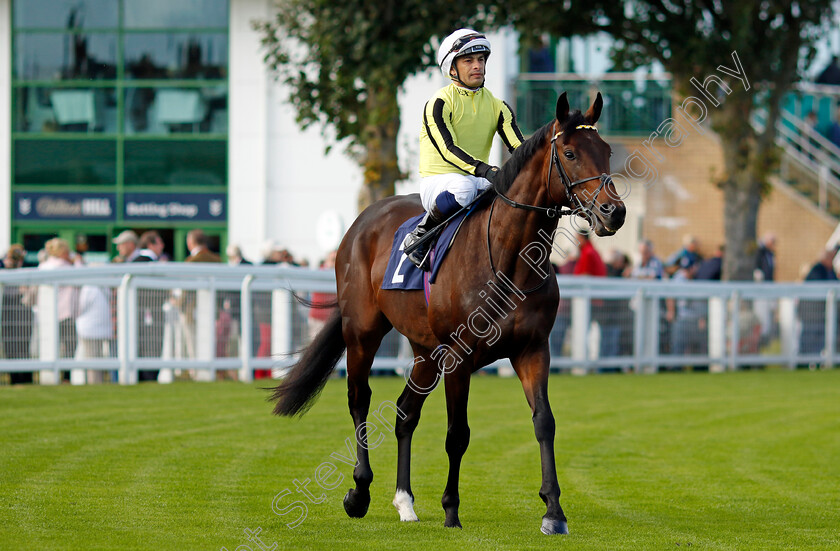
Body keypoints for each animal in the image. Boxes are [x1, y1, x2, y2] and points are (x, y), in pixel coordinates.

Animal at [270, 92, 624, 536]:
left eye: (607, 150)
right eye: (571, 153)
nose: (614, 212)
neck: (510, 259)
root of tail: (363, 222)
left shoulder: (533, 350)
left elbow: (544, 422)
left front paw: (554, 512)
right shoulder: (460, 356)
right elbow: (458, 434)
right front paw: (451, 510)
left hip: (424, 351)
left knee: (405, 412)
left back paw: (405, 501)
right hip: (363, 332)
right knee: (359, 399)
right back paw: (359, 492)